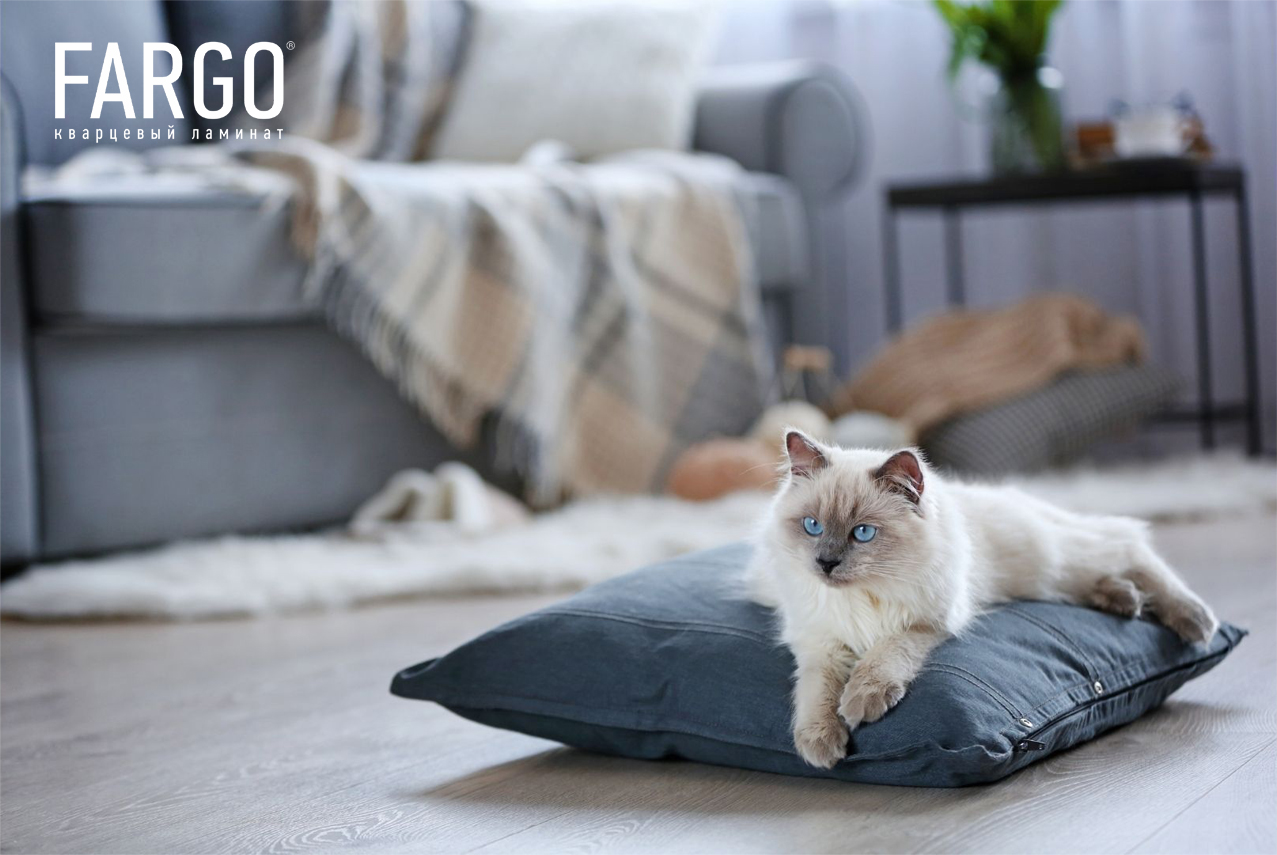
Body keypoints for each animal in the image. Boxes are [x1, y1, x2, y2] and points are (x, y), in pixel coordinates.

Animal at [747, 429, 1218, 769]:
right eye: (811, 526)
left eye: (863, 533)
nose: (825, 564)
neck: (865, 596)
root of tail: (1016, 495)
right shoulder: (819, 642)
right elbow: (816, 691)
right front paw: (820, 744)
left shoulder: (925, 623)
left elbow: (883, 657)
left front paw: (862, 702)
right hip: (1052, 579)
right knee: (1111, 569)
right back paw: (1125, 601)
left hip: (1053, 563)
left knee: (1129, 544)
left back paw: (1196, 621)